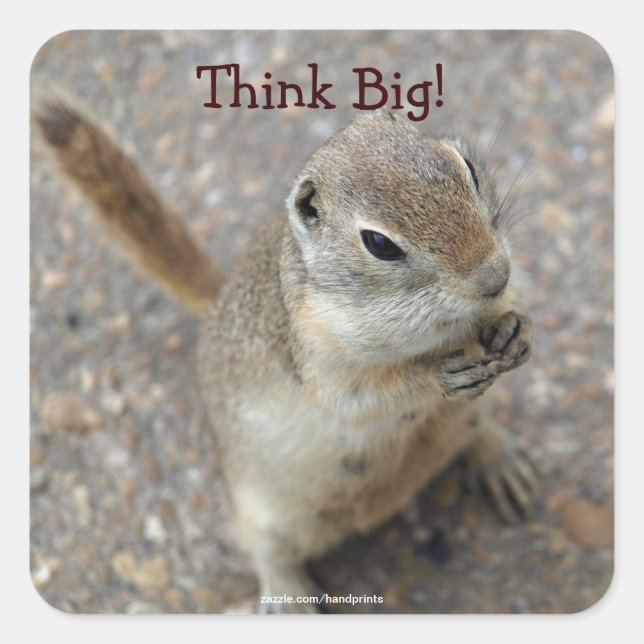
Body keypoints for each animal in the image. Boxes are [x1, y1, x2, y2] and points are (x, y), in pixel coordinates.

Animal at [36, 100, 536, 613]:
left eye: (467, 169)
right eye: (379, 243)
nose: (495, 274)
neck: (433, 327)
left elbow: (503, 314)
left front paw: (512, 329)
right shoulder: (319, 355)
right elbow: (361, 399)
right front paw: (440, 374)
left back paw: (501, 459)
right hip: (266, 514)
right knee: (267, 553)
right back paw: (289, 597)